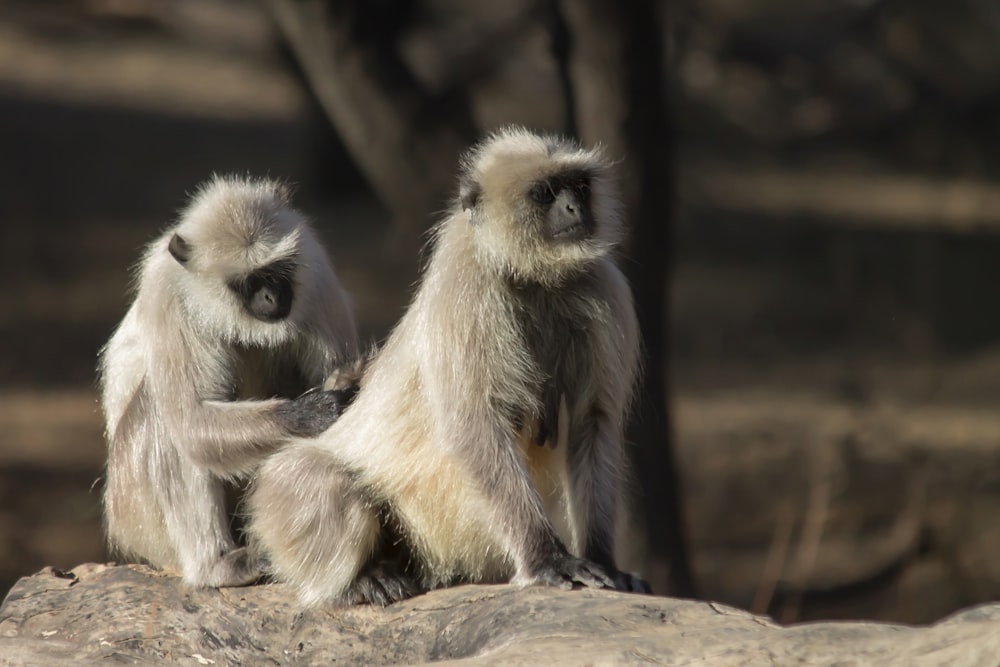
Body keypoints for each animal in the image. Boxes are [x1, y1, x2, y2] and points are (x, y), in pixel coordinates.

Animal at [97, 175, 362, 588]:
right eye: (248, 283)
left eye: (278, 270)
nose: (271, 295)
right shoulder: (169, 294)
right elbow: (192, 425)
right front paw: (311, 413)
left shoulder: (313, 271)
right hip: (134, 515)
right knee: (166, 417)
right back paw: (216, 566)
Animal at [247, 126, 652, 612]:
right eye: (544, 193)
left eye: (579, 187)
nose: (575, 208)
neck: (534, 278)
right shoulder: (466, 283)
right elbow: (472, 423)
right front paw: (548, 559)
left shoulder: (602, 287)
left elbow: (593, 420)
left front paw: (604, 561)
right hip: (283, 507)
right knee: (316, 476)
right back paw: (357, 581)